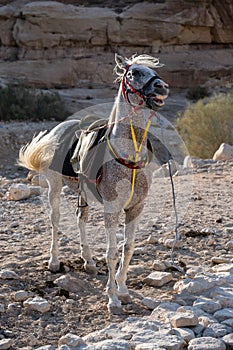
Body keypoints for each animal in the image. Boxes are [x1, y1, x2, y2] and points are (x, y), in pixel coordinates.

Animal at [17, 54, 167, 314]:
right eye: (134, 73)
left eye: (153, 71)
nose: (162, 87)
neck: (128, 157)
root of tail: (59, 128)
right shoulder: (112, 208)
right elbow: (112, 253)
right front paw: (113, 299)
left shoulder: (135, 208)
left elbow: (128, 249)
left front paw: (124, 291)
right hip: (54, 187)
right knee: (55, 221)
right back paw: (54, 261)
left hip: (82, 194)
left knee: (81, 220)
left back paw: (88, 261)